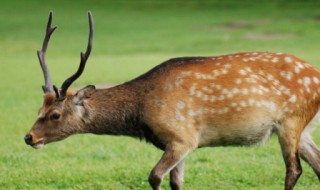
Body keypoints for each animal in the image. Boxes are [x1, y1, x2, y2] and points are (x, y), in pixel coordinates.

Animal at [25, 11, 320, 190]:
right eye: (38, 107)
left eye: (55, 115)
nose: (28, 137)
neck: (141, 114)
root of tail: (316, 75)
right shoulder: (179, 144)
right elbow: (176, 182)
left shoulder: (182, 136)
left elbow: (155, 176)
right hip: (304, 127)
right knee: (316, 164)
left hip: (291, 120)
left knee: (294, 169)